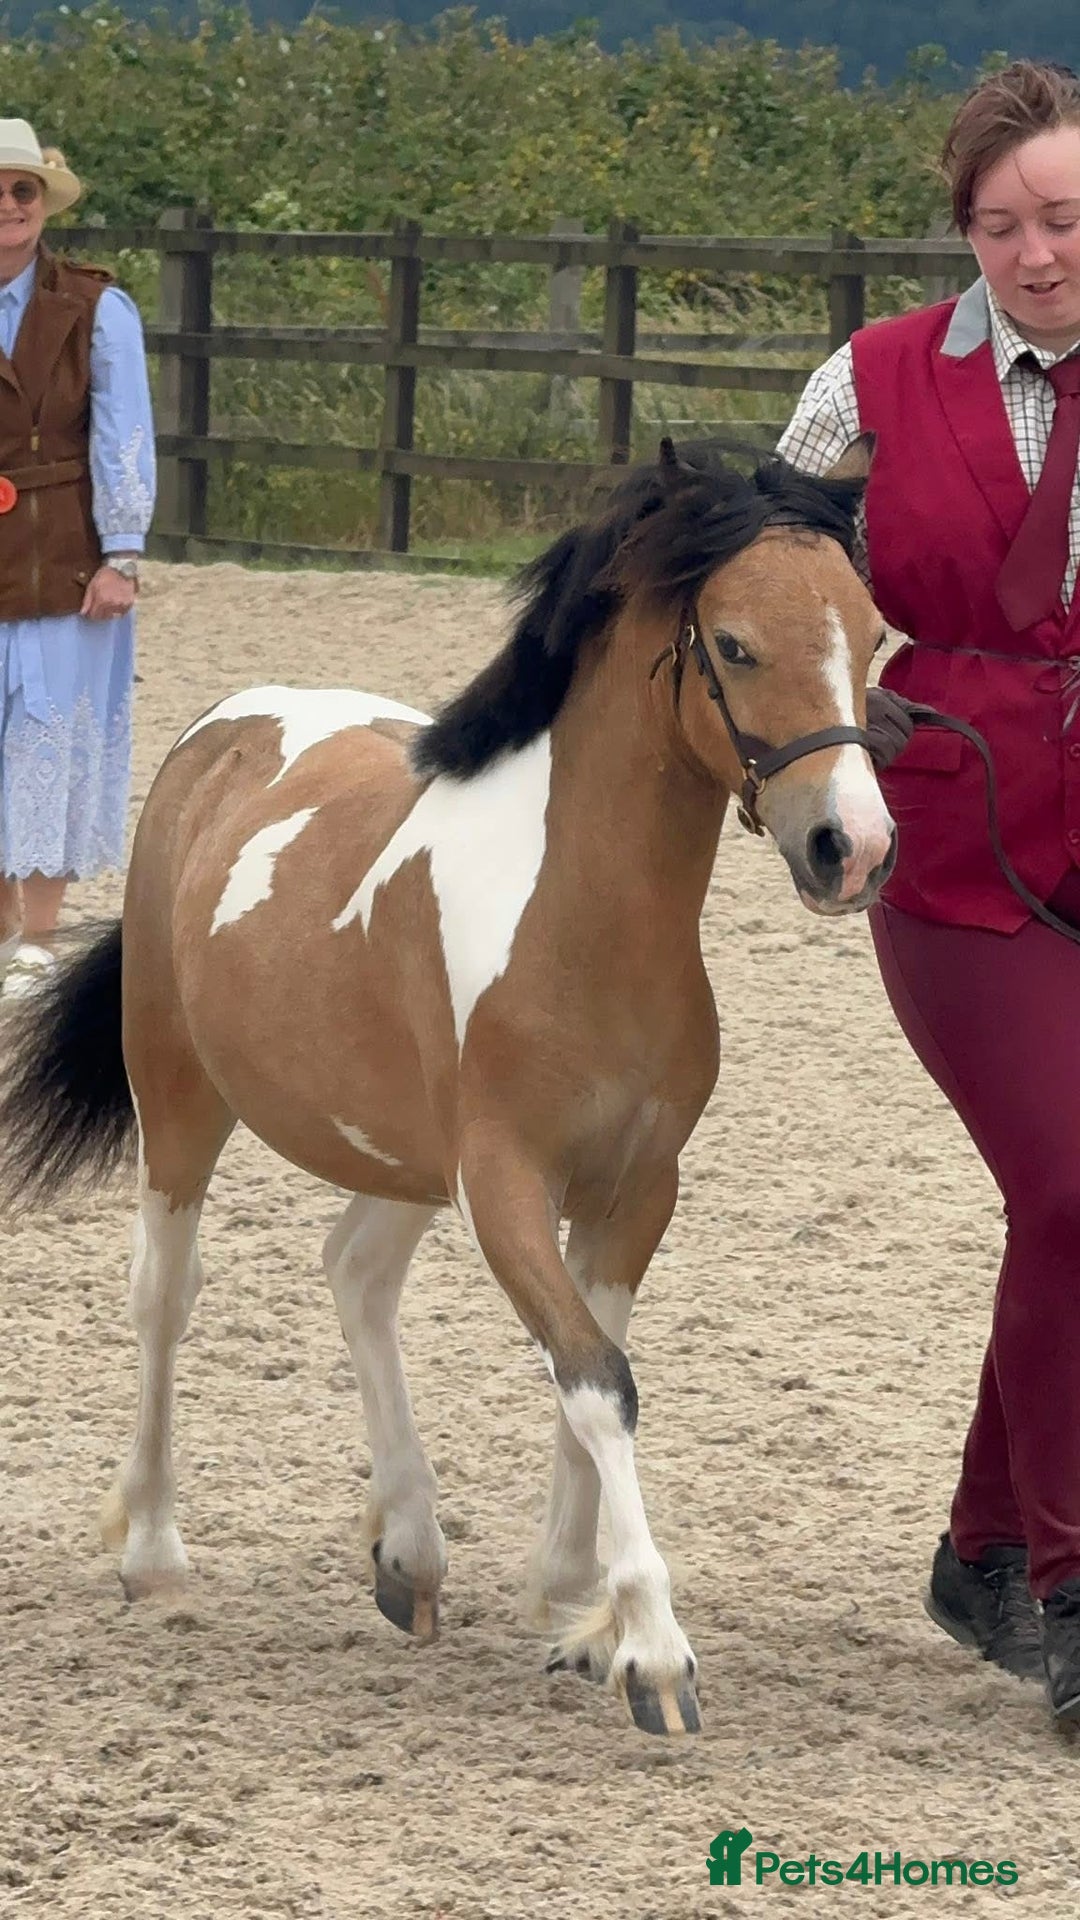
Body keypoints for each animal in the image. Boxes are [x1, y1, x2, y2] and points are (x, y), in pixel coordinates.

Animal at [0, 435, 895, 1738]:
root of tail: (219, 732)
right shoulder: (504, 1182)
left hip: (401, 1154)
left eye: (871, 637)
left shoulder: (635, 1190)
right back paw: (156, 1555)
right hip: (181, 1099)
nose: (852, 849)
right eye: (733, 644)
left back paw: (408, 1551)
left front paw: (576, 1611)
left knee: (354, 1272)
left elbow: (594, 1368)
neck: (583, 920)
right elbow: (596, 1379)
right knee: (166, 1293)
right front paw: (652, 1652)